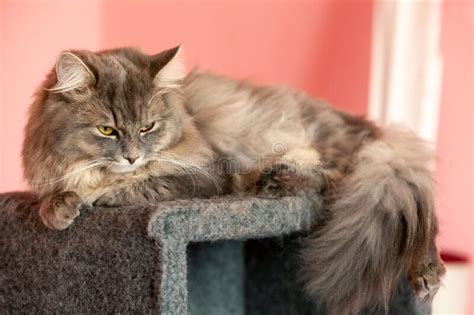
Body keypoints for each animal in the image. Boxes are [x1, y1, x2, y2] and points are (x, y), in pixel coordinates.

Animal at [21, 45, 444, 314]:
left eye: (147, 127)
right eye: (107, 130)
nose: (131, 155)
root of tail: (370, 129)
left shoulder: (204, 177)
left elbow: (139, 184)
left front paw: (96, 196)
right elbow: (53, 196)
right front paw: (59, 208)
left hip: (350, 159)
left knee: (410, 205)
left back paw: (426, 271)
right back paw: (277, 180)